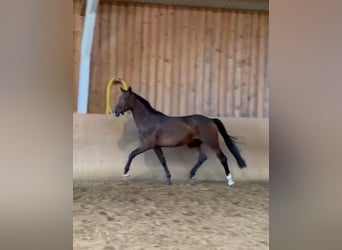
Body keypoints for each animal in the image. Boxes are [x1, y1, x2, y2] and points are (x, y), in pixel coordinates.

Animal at [112, 78, 246, 186]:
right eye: (119, 98)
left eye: (125, 98)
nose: (115, 112)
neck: (148, 121)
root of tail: (211, 120)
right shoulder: (156, 146)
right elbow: (162, 161)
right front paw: (169, 179)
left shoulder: (147, 145)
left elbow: (132, 154)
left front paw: (125, 172)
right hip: (193, 144)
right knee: (203, 157)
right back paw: (191, 176)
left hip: (212, 142)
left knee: (222, 158)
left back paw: (230, 181)